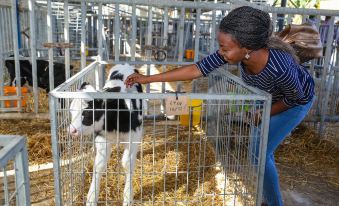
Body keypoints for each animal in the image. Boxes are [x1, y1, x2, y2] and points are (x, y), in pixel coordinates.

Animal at [69, 63, 143, 205]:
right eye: (71, 110)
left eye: (88, 113)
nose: (71, 130)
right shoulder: (103, 138)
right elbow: (99, 165)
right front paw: (91, 198)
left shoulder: (134, 136)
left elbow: (127, 164)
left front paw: (128, 197)